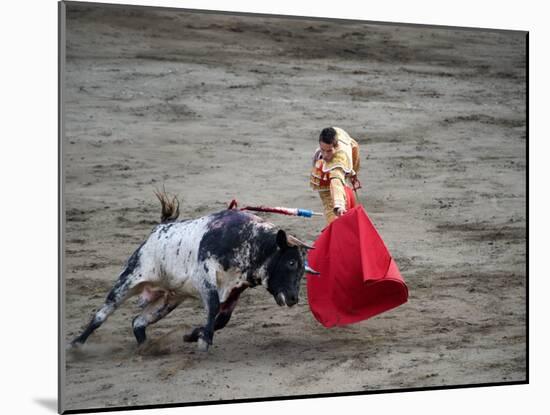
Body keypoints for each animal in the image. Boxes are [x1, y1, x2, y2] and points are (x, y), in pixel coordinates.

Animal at [70, 193, 314, 352]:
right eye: (291, 262)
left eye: (303, 269)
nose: (293, 298)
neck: (250, 240)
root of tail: (159, 228)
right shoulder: (205, 274)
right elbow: (214, 307)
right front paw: (204, 340)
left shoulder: (236, 288)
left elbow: (222, 318)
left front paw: (194, 335)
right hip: (129, 279)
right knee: (102, 313)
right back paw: (77, 344)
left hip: (168, 299)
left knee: (138, 322)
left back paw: (147, 348)